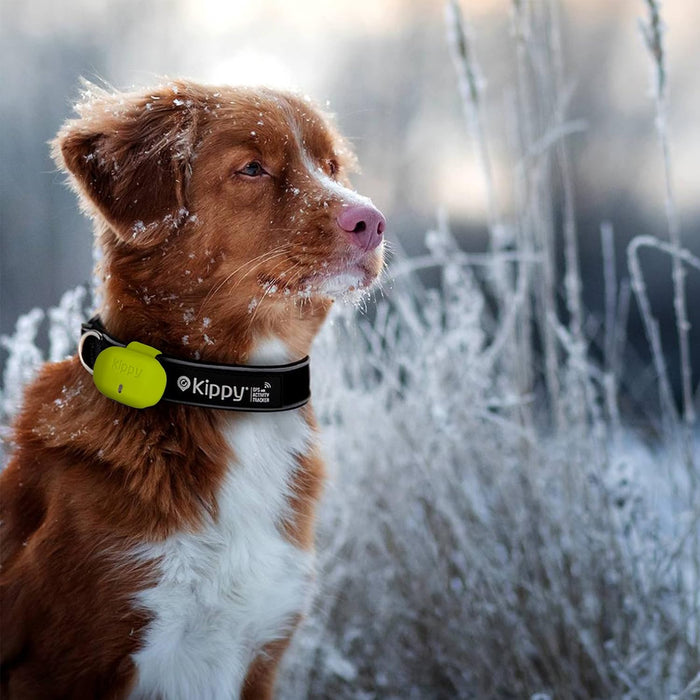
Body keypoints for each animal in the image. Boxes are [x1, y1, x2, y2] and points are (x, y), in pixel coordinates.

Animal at [0, 79, 386, 696]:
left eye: (330, 167)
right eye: (252, 168)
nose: (372, 222)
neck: (223, 395)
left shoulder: (261, 649)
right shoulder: (67, 659)